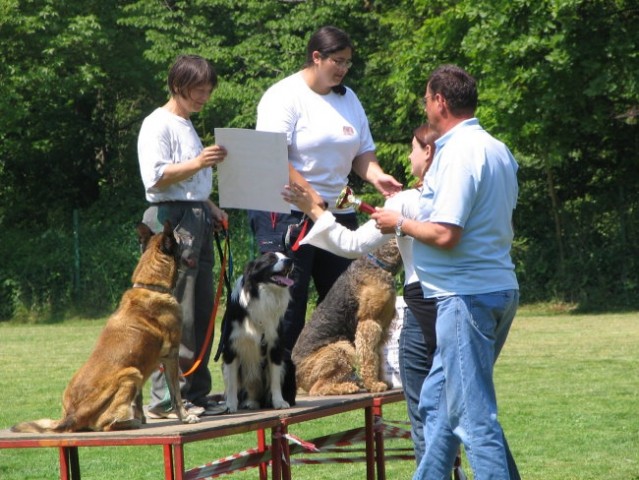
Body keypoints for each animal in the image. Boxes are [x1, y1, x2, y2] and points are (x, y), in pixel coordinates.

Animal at [11, 222, 198, 436]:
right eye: (178, 237)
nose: (186, 232)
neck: (152, 286)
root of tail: (72, 415)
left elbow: (139, 400)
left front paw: (142, 417)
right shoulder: (171, 356)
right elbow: (176, 393)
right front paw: (185, 417)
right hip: (132, 374)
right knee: (105, 425)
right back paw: (129, 423)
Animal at [292, 238, 402, 396]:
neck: (380, 262)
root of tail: (295, 376)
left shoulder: (383, 325)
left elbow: (378, 357)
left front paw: (382, 381)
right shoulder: (368, 322)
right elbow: (369, 357)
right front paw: (373, 384)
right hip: (342, 348)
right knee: (317, 389)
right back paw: (347, 387)